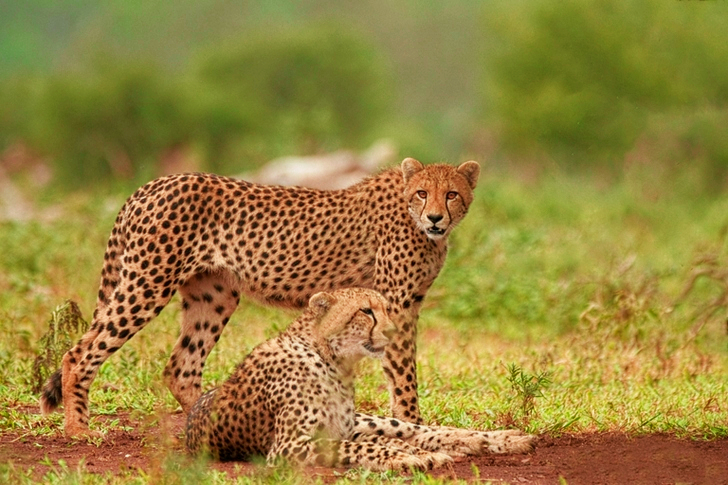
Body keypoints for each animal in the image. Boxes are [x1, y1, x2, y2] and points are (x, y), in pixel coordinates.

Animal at [40, 157, 480, 438]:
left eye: (452, 194)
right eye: (422, 193)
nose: (435, 217)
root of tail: (154, 183)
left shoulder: (406, 304)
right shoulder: (397, 304)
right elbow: (403, 374)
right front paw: (414, 423)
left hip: (214, 295)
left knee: (181, 367)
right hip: (148, 283)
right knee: (79, 353)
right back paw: (78, 430)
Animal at [185, 287, 536, 471]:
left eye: (386, 309)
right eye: (365, 311)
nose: (393, 331)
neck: (334, 361)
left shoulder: (338, 429)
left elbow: (373, 443)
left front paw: (415, 455)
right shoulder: (289, 446)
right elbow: (362, 448)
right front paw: (410, 458)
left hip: (367, 419)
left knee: (418, 429)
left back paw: (500, 439)